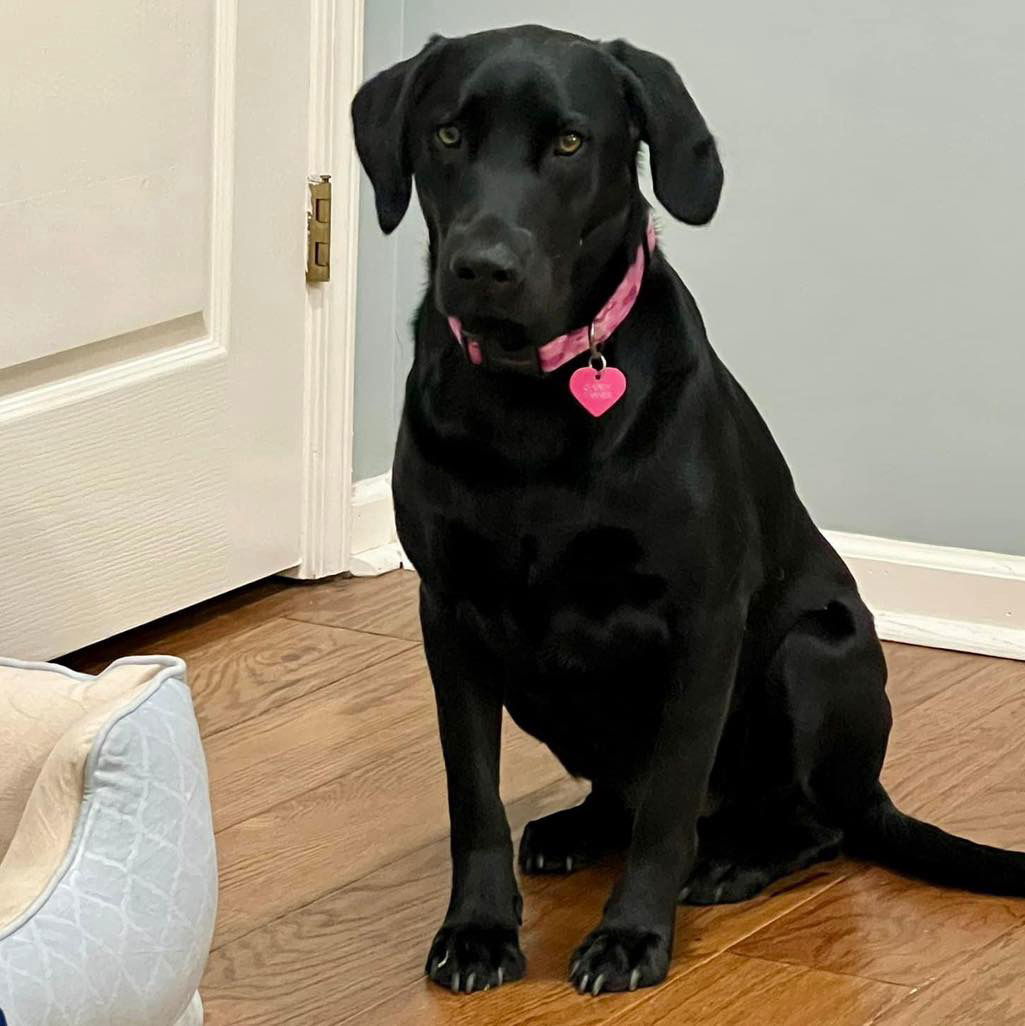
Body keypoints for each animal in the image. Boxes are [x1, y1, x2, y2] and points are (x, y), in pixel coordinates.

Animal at [352, 28, 1025, 997]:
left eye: (569, 143)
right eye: (446, 136)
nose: (482, 268)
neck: (530, 401)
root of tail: (875, 793)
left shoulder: (702, 620)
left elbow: (669, 803)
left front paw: (631, 935)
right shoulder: (450, 615)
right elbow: (471, 797)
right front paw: (477, 932)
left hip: (811, 654)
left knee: (807, 824)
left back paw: (736, 861)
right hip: (540, 684)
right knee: (621, 794)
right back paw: (574, 829)